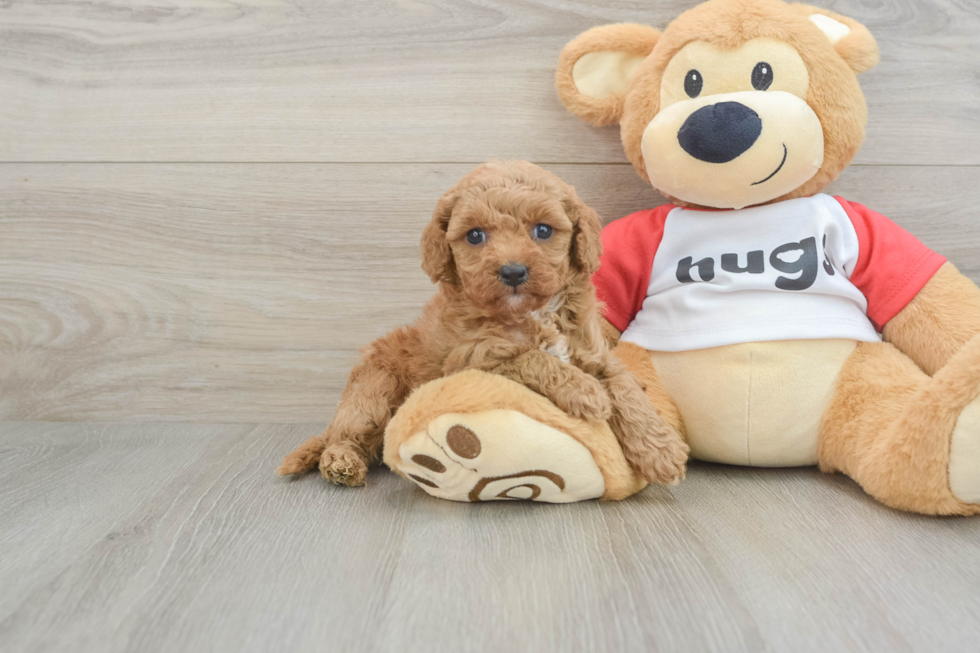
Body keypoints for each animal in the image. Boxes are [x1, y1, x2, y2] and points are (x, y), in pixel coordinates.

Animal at [276, 160, 688, 486]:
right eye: (475, 235)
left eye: (543, 230)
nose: (513, 271)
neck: (533, 312)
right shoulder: (471, 361)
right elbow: (533, 358)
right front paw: (584, 392)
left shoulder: (596, 352)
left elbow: (625, 388)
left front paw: (662, 450)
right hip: (374, 390)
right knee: (345, 435)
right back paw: (341, 462)